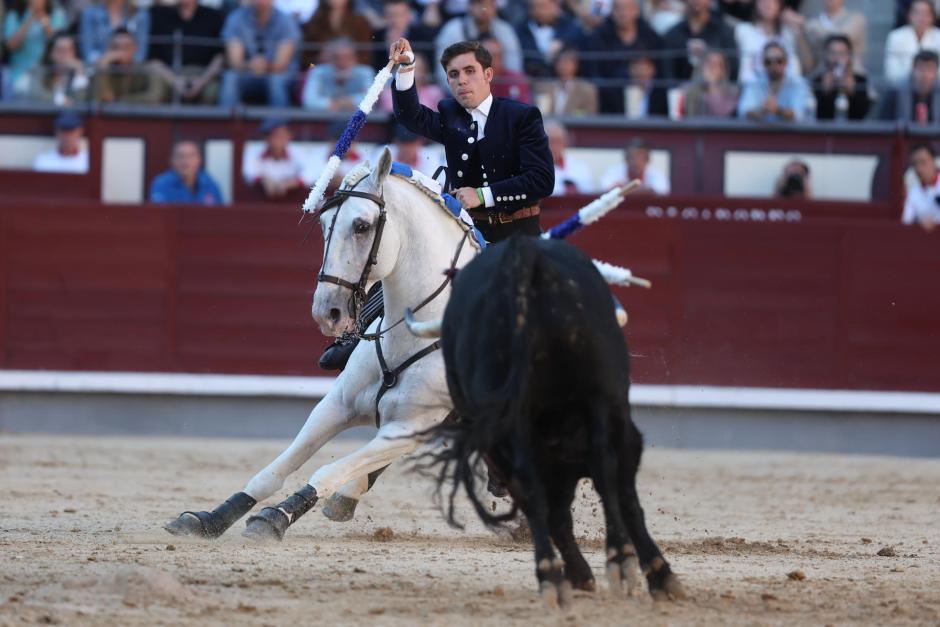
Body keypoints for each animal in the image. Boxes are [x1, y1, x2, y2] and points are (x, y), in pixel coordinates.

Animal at [162, 148, 482, 544]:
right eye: (324, 223)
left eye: (361, 226)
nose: (326, 311)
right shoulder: (338, 404)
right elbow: (277, 468)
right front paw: (210, 519)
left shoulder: (413, 427)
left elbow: (329, 471)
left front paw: (275, 517)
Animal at [424, 236, 684, 608]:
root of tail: (523, 253)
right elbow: (621, 495)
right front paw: (655, 573)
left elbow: (555, 507)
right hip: (598, 397)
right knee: (599, 474)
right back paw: (613, 561)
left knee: (535, 487)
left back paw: (552, 576)